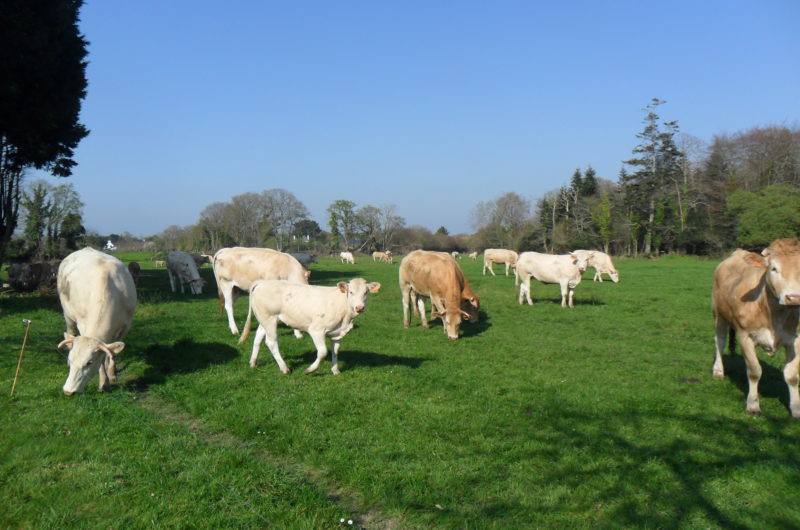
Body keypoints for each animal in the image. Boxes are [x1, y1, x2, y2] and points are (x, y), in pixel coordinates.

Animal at [56, 246, 136, 392]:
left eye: (89, 362)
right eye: (72, 359)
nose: (68, 391)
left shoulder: (125, 325)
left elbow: (112, 352)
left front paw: (111, 374)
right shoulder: (83, 324)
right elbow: (103, 357)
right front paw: (103, 381)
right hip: (67, 314)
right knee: (70, 332)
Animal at [238, 276, 382, 376]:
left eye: (366, 292)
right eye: (350, 292)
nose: (359, 307)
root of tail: (262, 283)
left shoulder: (337, 334)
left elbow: (335, 352)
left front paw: (335, 370)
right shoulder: (316, 330)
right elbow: (323, 352)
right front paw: (309, 370)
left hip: (266, 320)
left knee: (258, 338)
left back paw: (253, 363)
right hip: (269, 319)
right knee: (271, 342)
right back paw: (284, 368)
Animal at [712, 239, 800, 416]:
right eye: (774, 268)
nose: (794, 298)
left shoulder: (796, 339)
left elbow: (792, 375)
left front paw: (796, 408)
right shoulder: (745, 336)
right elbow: (754, 371)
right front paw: (752, 405)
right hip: (719, 314)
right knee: (720, 341)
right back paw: (718, 370)